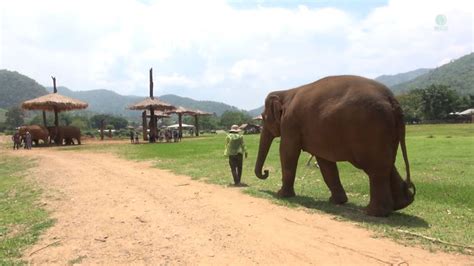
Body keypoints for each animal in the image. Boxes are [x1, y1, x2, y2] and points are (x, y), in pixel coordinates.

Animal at [256, 74, 414, 216]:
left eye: (263, 118)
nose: (266, 172)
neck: (286, 91)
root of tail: (392, 100)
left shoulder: (290, 124)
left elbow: (287, 152)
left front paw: (281, 195)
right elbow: (325, 164)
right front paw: (337, 201)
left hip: (371, 129)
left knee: (375, 168)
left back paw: (373, 212)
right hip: (387, 132)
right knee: (387, 165)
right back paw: (400, 205)